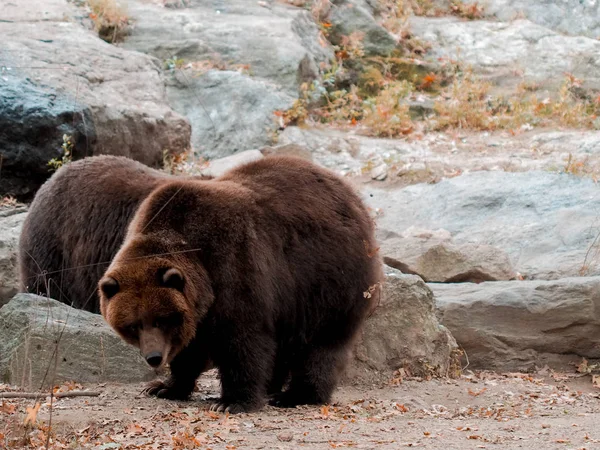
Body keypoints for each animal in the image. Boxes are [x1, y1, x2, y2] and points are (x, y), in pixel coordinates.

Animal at [97, 156, 380, 414]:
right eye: (133, 325)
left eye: (161, 319)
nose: (154, 357)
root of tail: (352, 196)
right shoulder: (197, 307)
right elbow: (191, 347)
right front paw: (164, 387)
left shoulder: (233, 266)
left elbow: (242, 339)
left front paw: (231, 402)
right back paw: (272, 387)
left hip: (326, 279)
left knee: (320, 342)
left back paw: (296, 395)